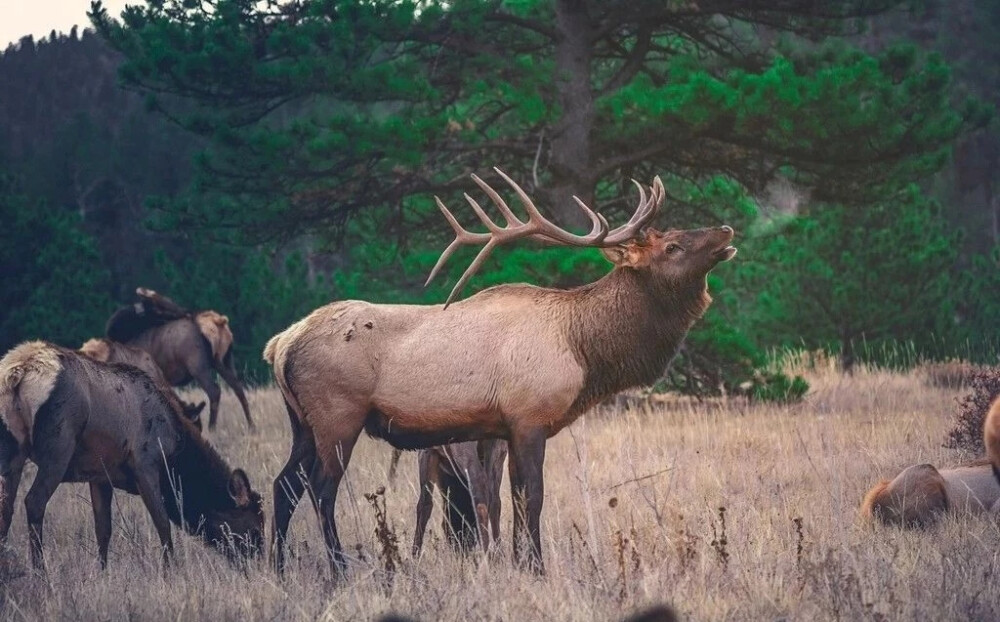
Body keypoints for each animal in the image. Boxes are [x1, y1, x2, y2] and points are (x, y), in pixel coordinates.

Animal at [0, 342, 266, 572]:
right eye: (254, 528)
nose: (259, 564)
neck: (176, 452)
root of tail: (17, 373)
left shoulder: (99, 475)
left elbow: (103, 529)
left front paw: (103, 572)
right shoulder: (145, 464)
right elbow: (163, 523)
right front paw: (170, 572)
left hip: (13, 452)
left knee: (6, 508)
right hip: (59, 446)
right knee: (34, 501)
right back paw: (40, 572)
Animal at [104, 290, 254, 432]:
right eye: (157, 307)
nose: (187, 312)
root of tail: (219, 322)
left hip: (198, 365)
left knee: (215, 391)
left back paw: (212, 429)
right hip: (225, 360)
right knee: (238, 387)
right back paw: (251, 426)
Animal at [264, 167, 736, 576]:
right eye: (672, 246)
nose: (727, 231)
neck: (583, 349)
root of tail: (280, 345)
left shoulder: (503, 428)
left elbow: (511, 499)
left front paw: (518, 563)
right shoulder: (529, 417)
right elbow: (533, 498)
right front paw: (537, 568)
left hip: (302, 422)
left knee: (283, 484)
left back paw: (279, 567)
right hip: (338, 414)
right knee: (320, 490)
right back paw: (339, 569)